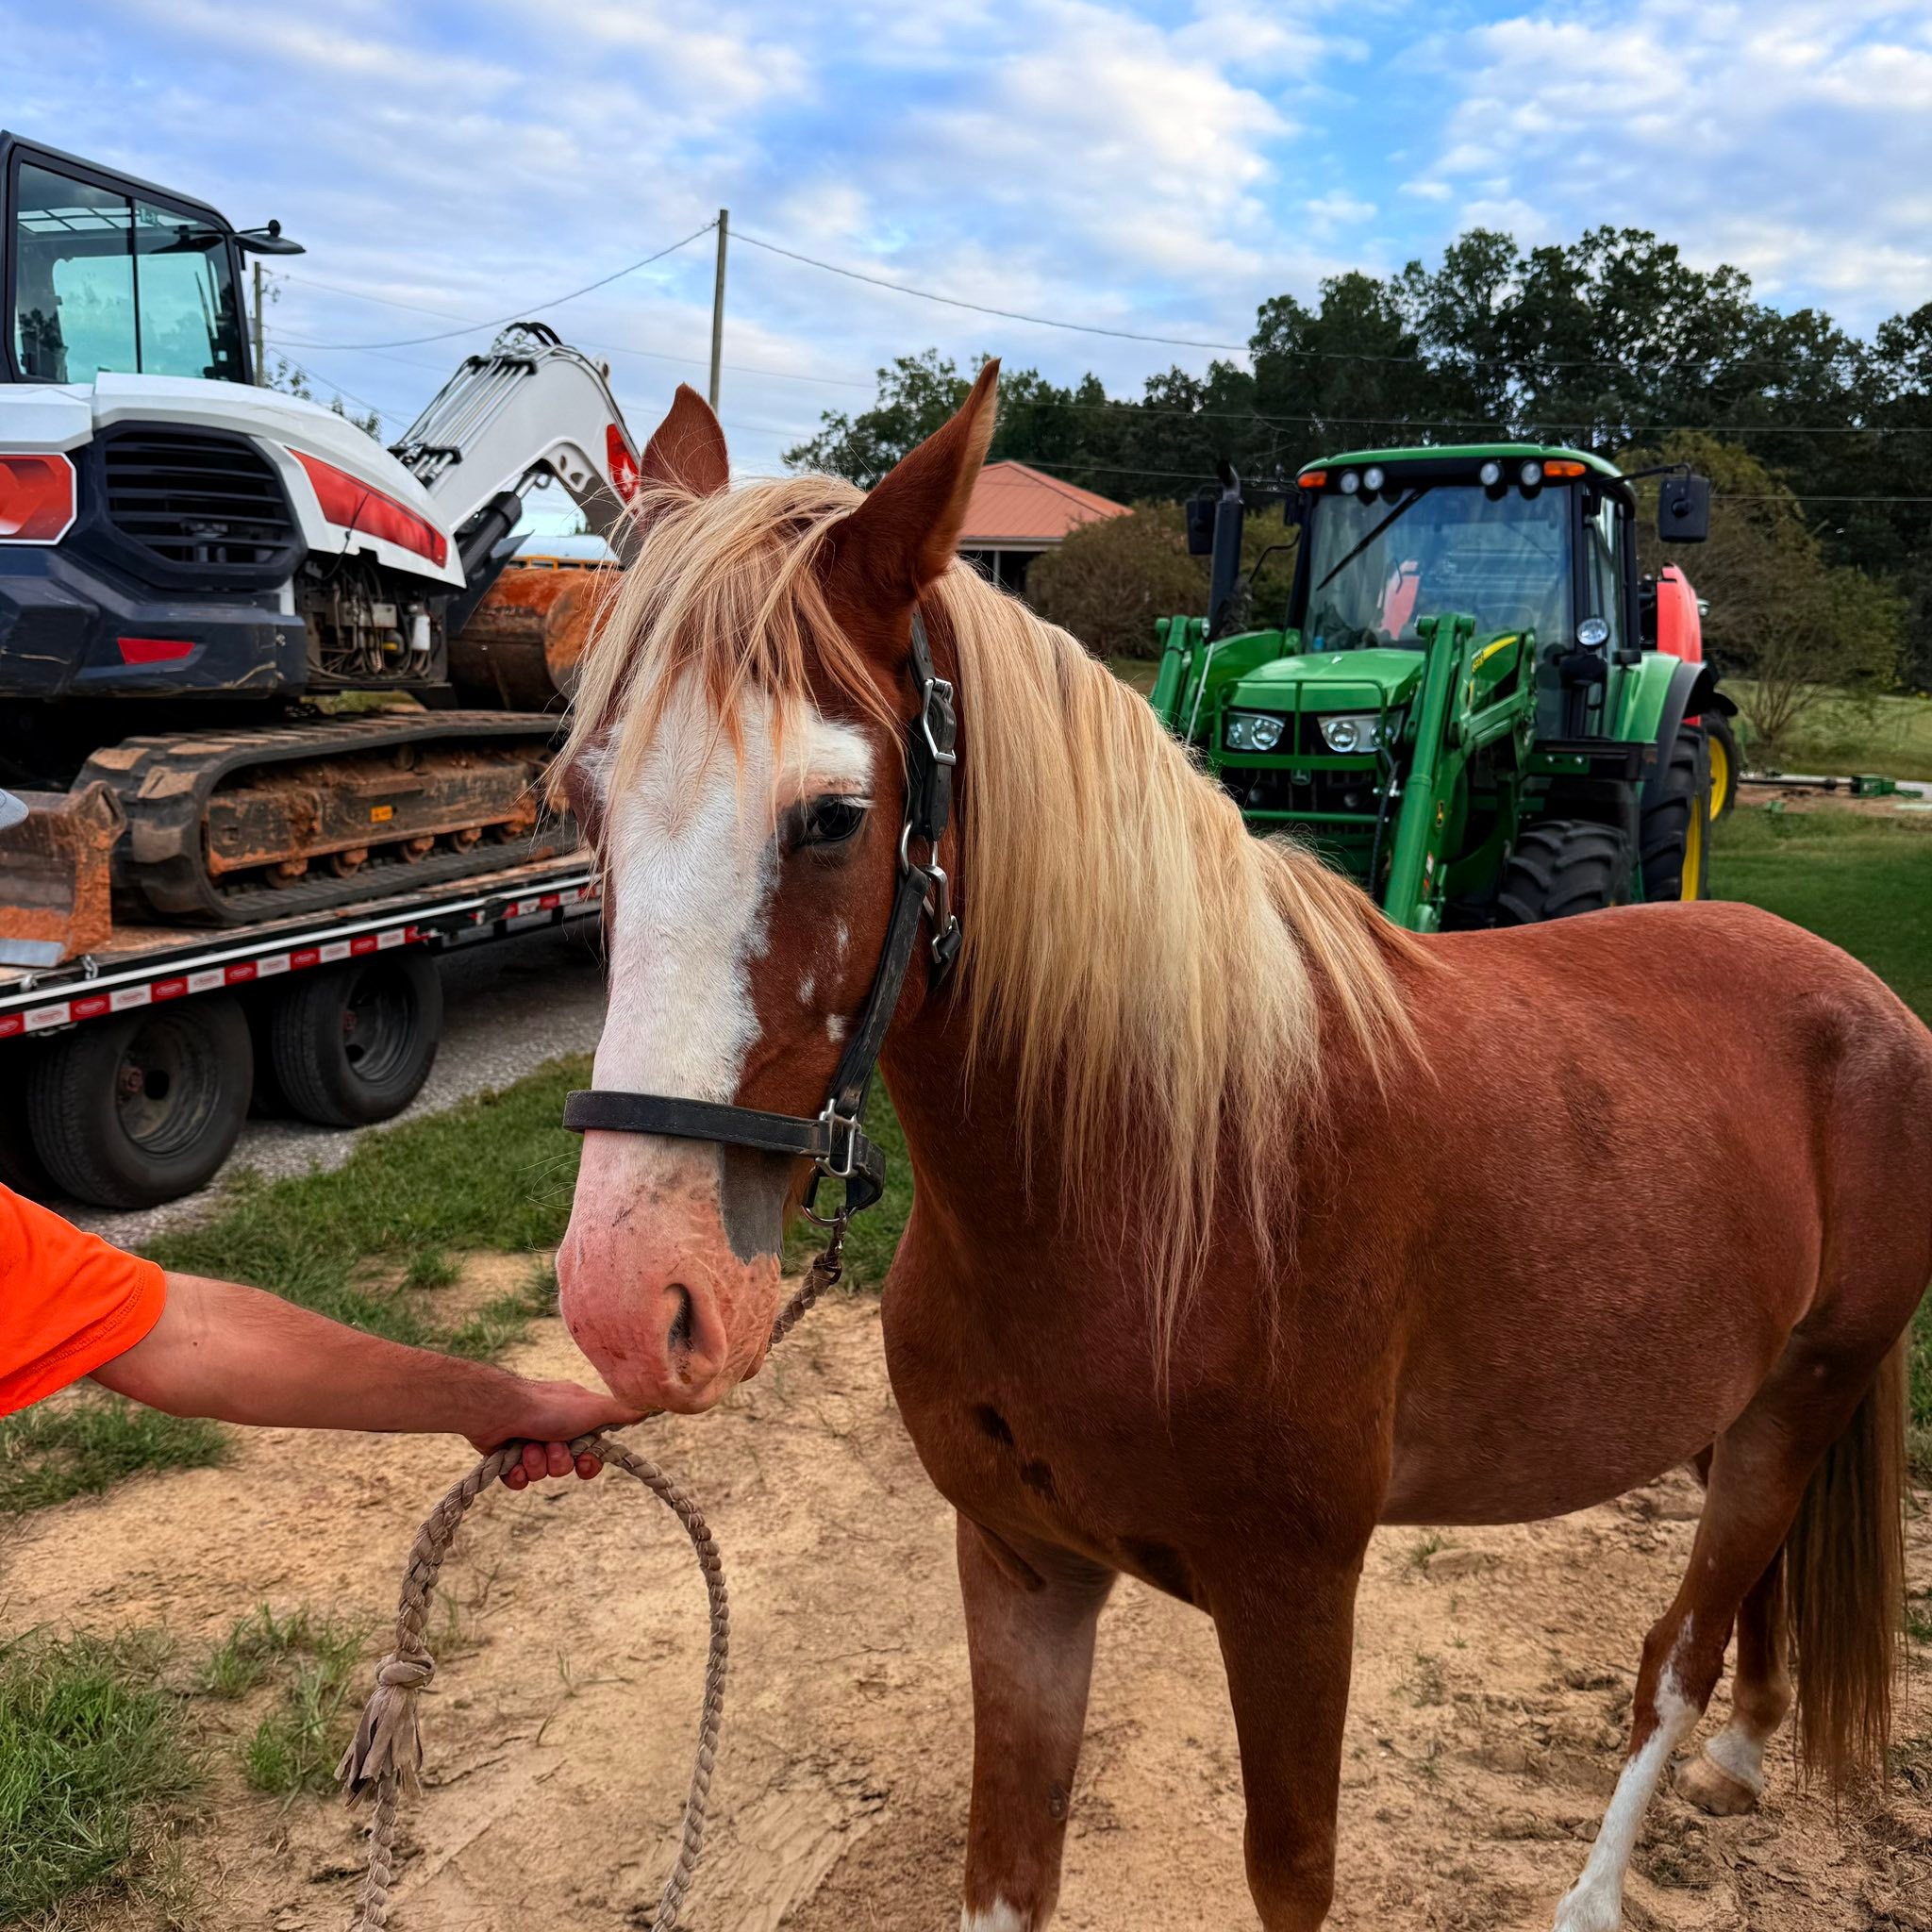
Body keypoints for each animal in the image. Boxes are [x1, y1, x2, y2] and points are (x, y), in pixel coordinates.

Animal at [551, 365, 1932, 1932]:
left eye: (834, 816)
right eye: (581, 804)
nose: (630, 1299)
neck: (1157, 1184)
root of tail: (1866, 997)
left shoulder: (1295, 1603)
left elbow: (1292, 1874)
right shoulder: (1022, 1570)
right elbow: (1004, 1869)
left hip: (1802, 1392)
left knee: (1673, 1661)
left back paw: (1602, 1881)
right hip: (1732, 1404)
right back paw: (1749, 1749)